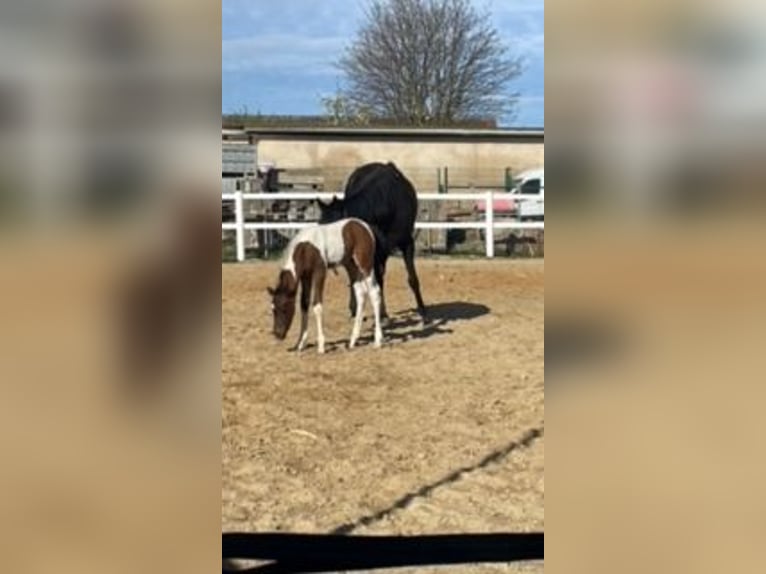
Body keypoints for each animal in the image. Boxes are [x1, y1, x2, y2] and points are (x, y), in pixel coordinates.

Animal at [268, 218, 384, 354]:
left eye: (284, 308)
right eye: (273, 309)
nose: (278, 334)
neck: (305, 248)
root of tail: (365, 226)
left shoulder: (320, 272)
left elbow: (317, 305)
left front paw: (321, 346)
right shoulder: (305, 277)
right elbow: (304, 304)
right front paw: (300, 343)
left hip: (365, 264)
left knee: (374, 292)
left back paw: (377, 341)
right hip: (351, 265)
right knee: (360, 294)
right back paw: (352, 341)